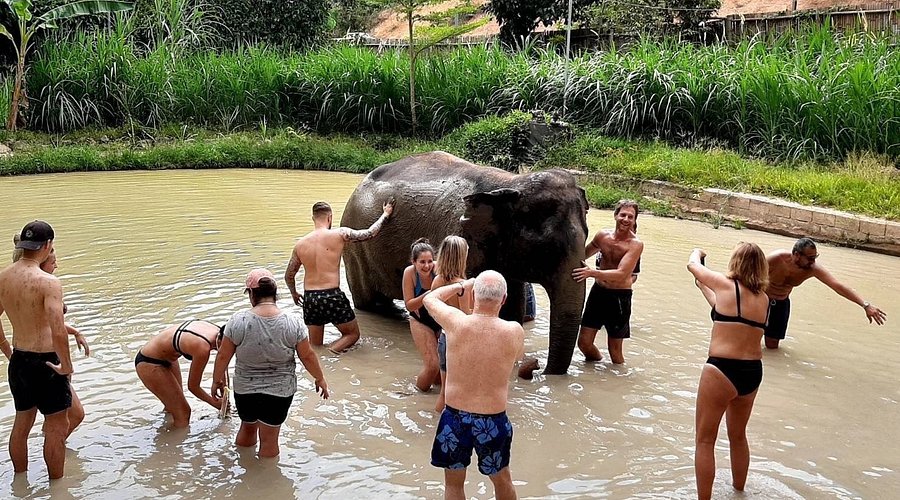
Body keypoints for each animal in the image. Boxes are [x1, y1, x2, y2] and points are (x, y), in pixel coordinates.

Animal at [340, 151, 589, 375]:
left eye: (586, 235)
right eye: (548, 248)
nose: (538, 369)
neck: (508, 183)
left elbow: (511, 312)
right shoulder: (460, 237)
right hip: (356, 251)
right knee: (370, 303)